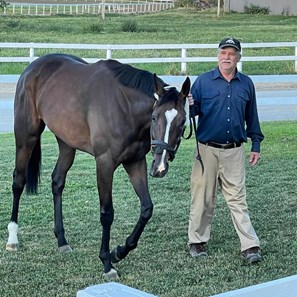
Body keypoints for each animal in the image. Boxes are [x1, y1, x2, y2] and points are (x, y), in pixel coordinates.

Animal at [6, 53, 190, 278]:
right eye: (154, 117)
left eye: (182, 122)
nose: (160, 167)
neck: (124, 106)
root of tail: (33, 67)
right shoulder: (104, 163)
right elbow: (107, 213)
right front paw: (106, 262)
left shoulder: (135, 162)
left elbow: (147, 208)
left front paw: (119, 251)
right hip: (26, 136)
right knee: (18, 182)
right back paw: (12, 238)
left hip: (66, 143)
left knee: (57, 182)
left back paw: (62, 240)